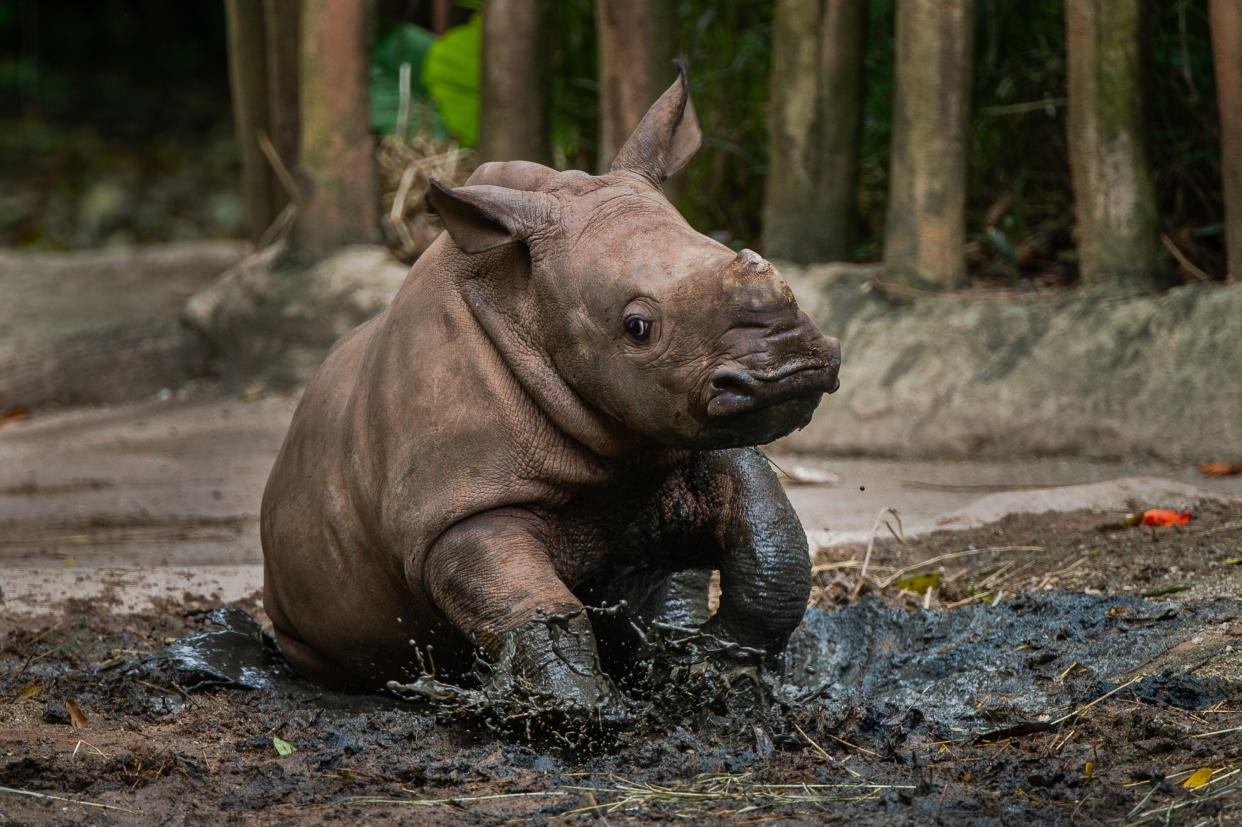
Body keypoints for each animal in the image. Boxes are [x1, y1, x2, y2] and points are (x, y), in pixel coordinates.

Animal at [262, 69, 844, 710]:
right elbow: (530, 606)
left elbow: (773, 542)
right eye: (637, 328)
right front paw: (582, 709)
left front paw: (715, 673)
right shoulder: (454, 511)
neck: (527, 304)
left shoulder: (682, 432)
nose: (793, 367)